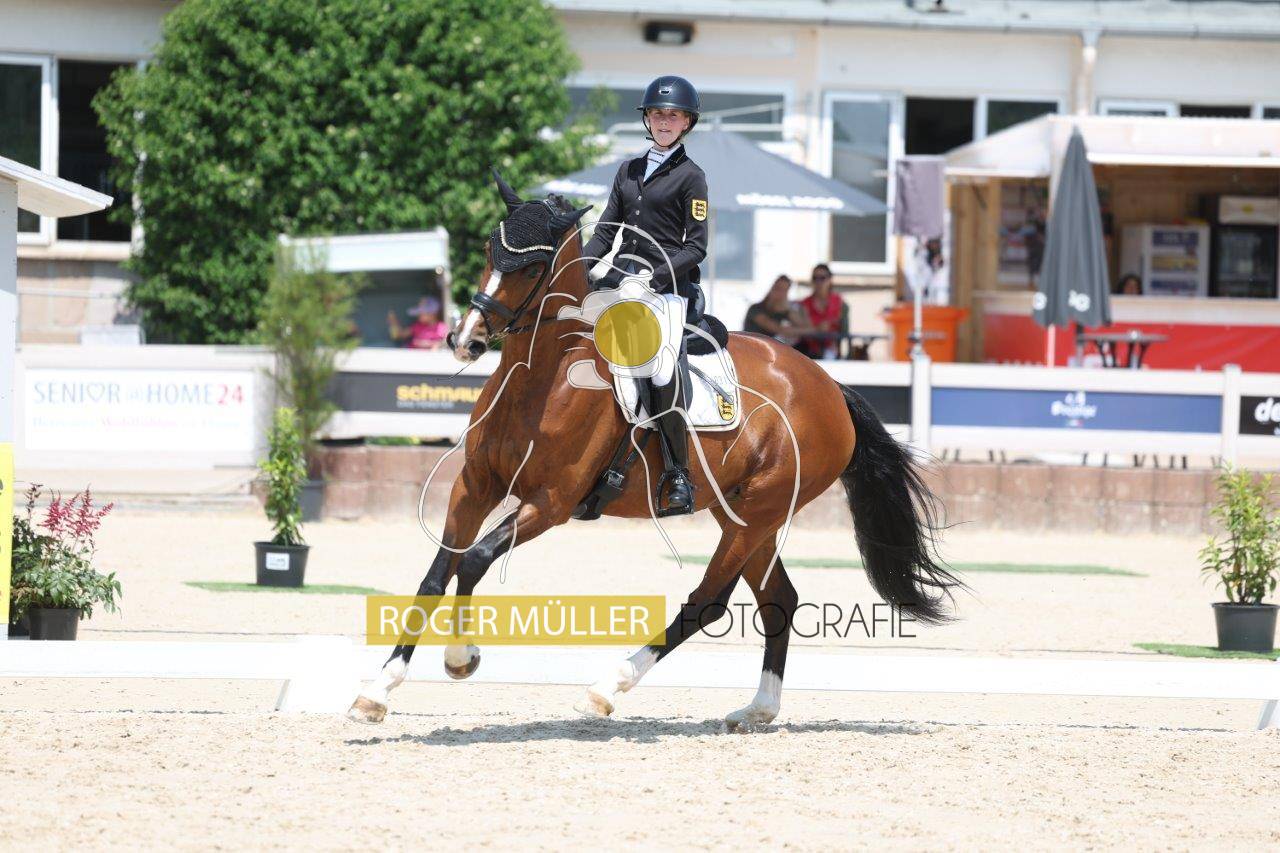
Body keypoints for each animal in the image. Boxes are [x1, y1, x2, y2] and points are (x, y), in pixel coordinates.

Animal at [347, 175, 960, 729]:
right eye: (488, 252)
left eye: (529, 267)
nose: (465, 340)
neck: (540, 379)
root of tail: (828, 385)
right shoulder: (475, 485)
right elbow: (436, 575)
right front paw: (377, 691)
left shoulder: (550, 503)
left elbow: (473, 561)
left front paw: (461, 658)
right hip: (742, 513)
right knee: (779, 599)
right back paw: (756, 710)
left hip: (757, 511)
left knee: (708, 600)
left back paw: (605, 689)